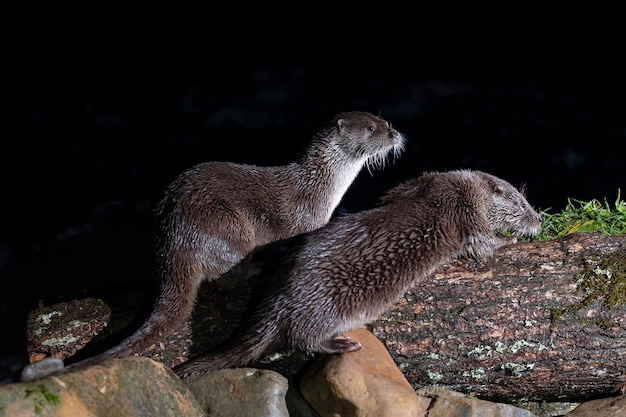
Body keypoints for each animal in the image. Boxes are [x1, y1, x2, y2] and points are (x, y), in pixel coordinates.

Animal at [66, 109, 402, 368]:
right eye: (371, 128)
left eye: (384, 121)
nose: (394, 134)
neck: (322, 185)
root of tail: (175, 238)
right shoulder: (308, 219)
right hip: (231, 228)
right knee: (226, 276)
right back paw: (263, 266)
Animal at [172, 169, 540, 376]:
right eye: (522, 203)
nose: (538, 219)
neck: (460, 187)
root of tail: (281, 295)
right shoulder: (464, 208)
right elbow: (482, 243)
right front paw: (510, 239)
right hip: (325, 305)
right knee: (301, 338)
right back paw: (341, 345)